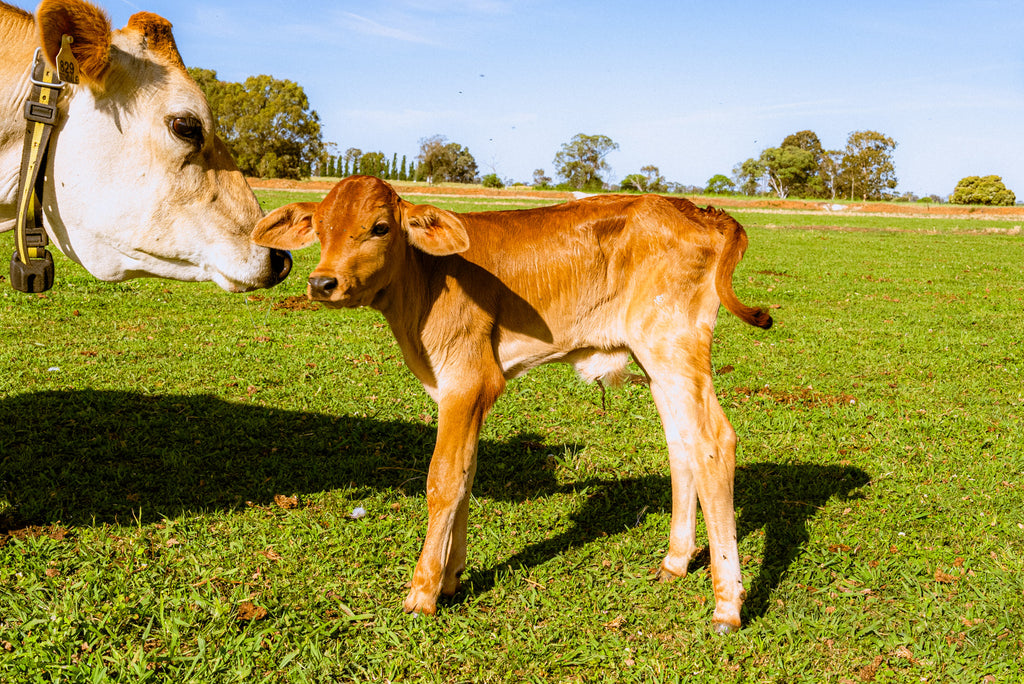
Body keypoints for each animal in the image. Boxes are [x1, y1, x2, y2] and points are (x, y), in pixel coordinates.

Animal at [251, 174, 770, 634]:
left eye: (380, 227)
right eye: (320, 227)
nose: (322, 282)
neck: (425, 281)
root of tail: (697, 209)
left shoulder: (466, 380)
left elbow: (443, 480)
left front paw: (422, 592)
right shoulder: (464, 393)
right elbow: (465, 474)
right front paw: (451, 578)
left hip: (673, 344)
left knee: (714, 441)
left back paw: (727, 604)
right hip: (656, 359)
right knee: (681, 445)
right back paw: (675, 561)